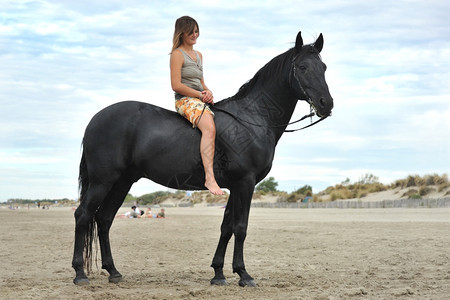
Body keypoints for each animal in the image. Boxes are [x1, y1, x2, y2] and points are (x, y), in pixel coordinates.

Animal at [73, 31, 334, 288]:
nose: (326, 104)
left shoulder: (235, 186)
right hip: (103, 180)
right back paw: (80, 274)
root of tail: (95, 119)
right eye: (302, 67)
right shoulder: (245, 182)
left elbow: (226, 227)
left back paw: (113, 271)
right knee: (83, 215)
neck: (252, 118)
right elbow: (241, 227)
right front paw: (244, 275)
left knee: (104, 219)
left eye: (323, 67)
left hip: (122, 182)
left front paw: (219, 273)